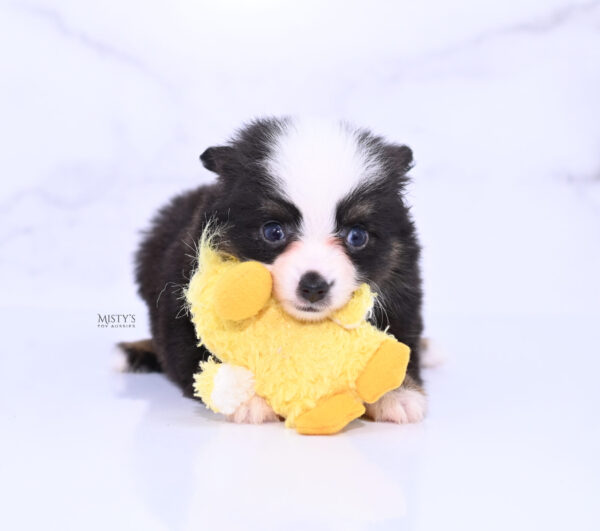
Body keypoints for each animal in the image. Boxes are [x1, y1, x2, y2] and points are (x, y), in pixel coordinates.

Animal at [124, 118, 426, 426]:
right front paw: (246, 399)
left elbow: (400, 336)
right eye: (273, 231)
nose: (313, 287)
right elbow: (201, 354)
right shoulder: (180, 302)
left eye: (356, 236)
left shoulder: (402, 285)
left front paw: (397, 394)